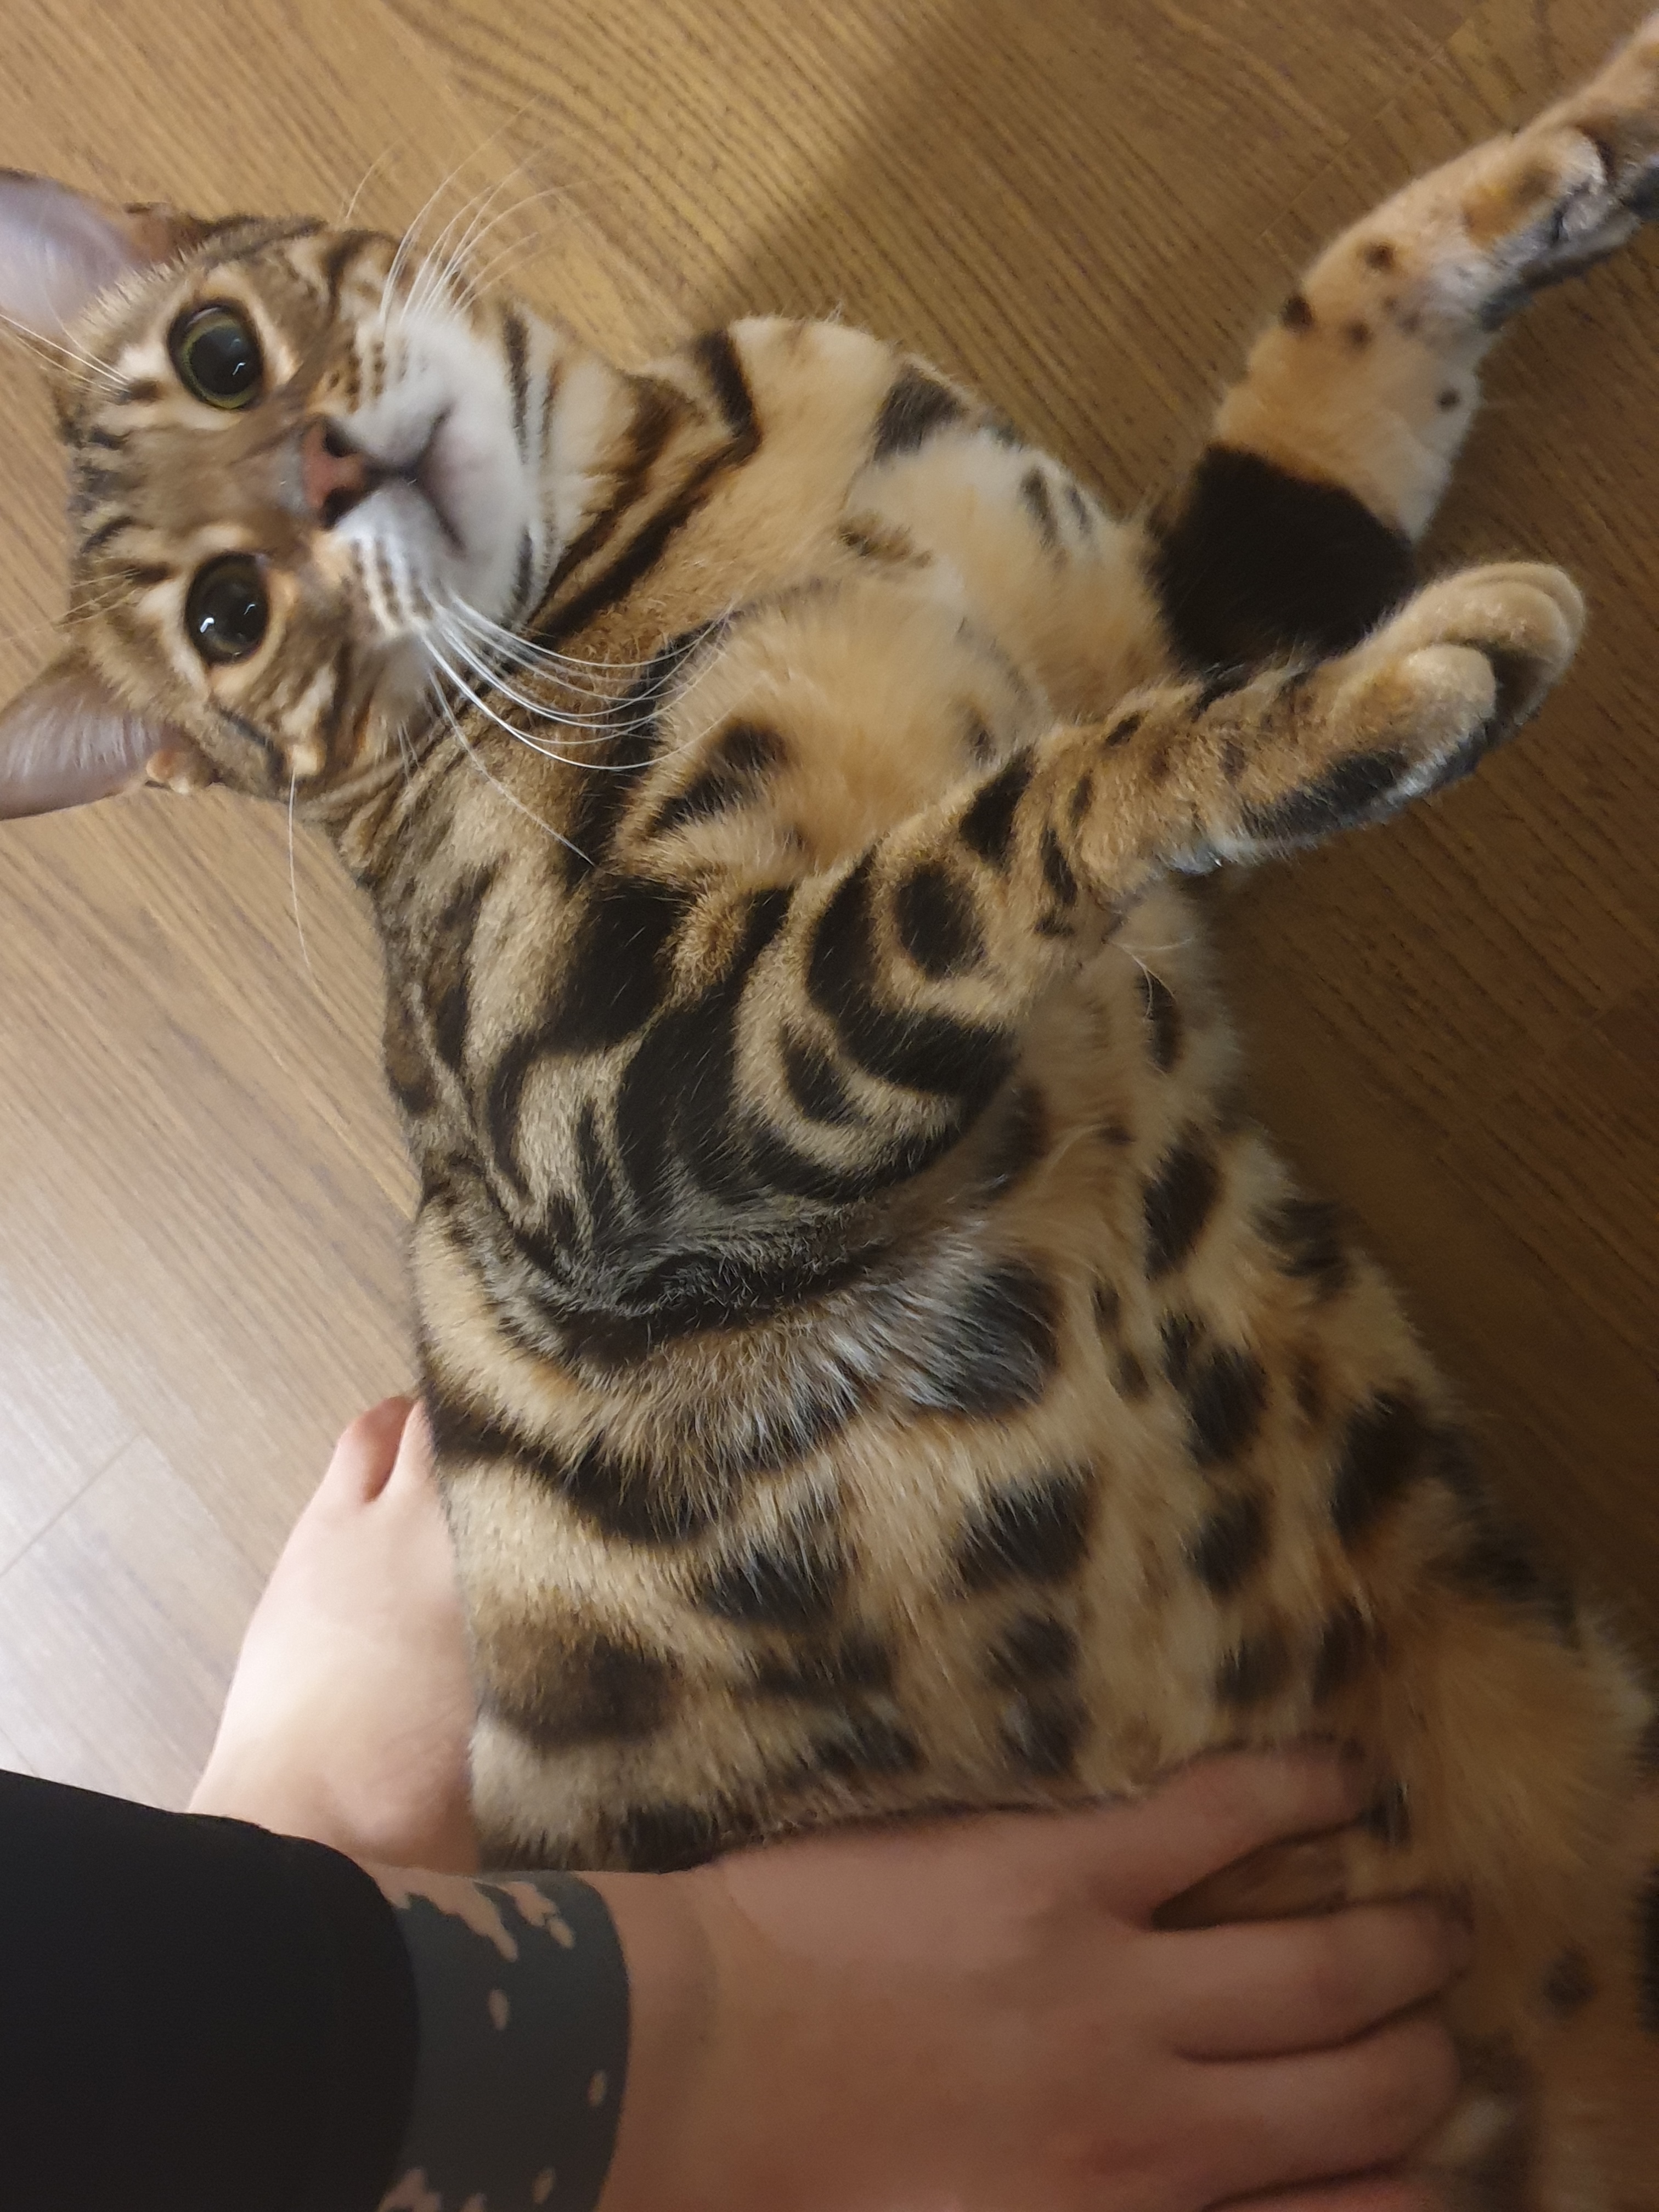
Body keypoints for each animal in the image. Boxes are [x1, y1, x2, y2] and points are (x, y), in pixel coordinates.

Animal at [3, 15, 1659, 2203]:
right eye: (223, 618)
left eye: (218, 353)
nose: (324, 475)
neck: (667, 502)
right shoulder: (621, 1109)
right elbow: (999, 835)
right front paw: (1383, 704)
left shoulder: (1155, 605)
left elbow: (1354, 311)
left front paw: (1601, 124)